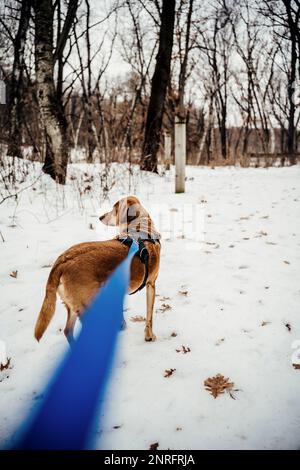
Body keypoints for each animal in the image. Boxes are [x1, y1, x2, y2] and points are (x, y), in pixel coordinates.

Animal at [34, 196, 161, 346]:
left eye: (114, 210)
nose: (100, 217)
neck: (141, 229)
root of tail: (62, 261)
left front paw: (121, 326)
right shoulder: (151, 284)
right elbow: (149, 316)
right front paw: (149, 336)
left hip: (73, 307)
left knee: (67, 331)